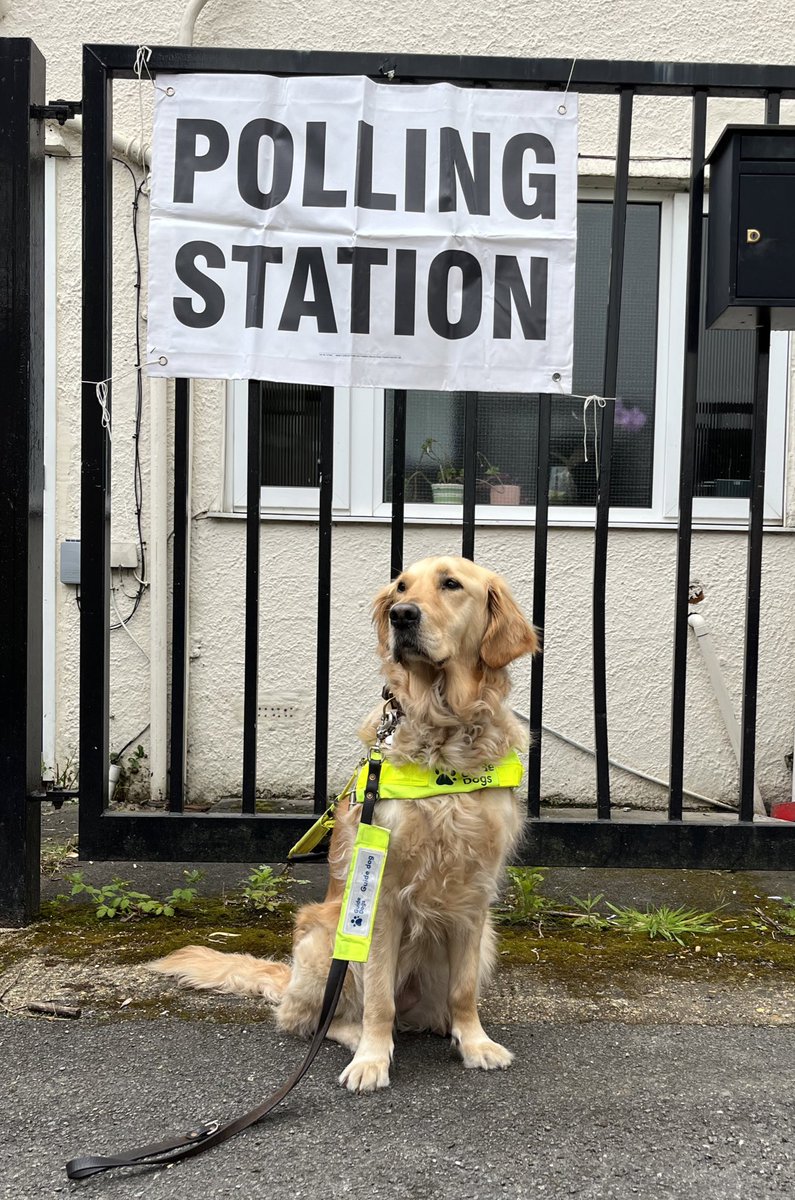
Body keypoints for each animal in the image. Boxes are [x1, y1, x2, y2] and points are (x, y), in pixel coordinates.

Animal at [151, 556, 535, 1094]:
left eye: (451, 584)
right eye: (401, 587)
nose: (401, 616)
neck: (444, 731)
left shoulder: (474, 894)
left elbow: (462, 991)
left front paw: (475, 1042)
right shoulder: (383, 892)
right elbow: (378, 997)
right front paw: (372, 1059)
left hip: (482, 943)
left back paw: (443, 1027)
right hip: (324, 939)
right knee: (314, 1018)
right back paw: (359, 1039)